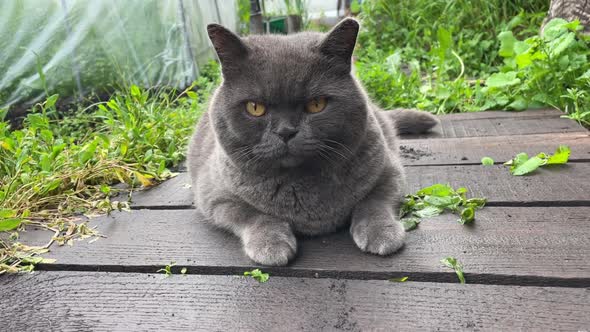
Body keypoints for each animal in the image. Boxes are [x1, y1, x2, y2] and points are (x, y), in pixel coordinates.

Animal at [188, 18, 440, 268]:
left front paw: (381, 233)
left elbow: (374, 201)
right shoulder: (214, 193)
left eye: (316, 104)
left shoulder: (389, 170)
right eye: (255, 108)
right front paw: (270, 245)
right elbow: (251, 214)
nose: (286, 131)